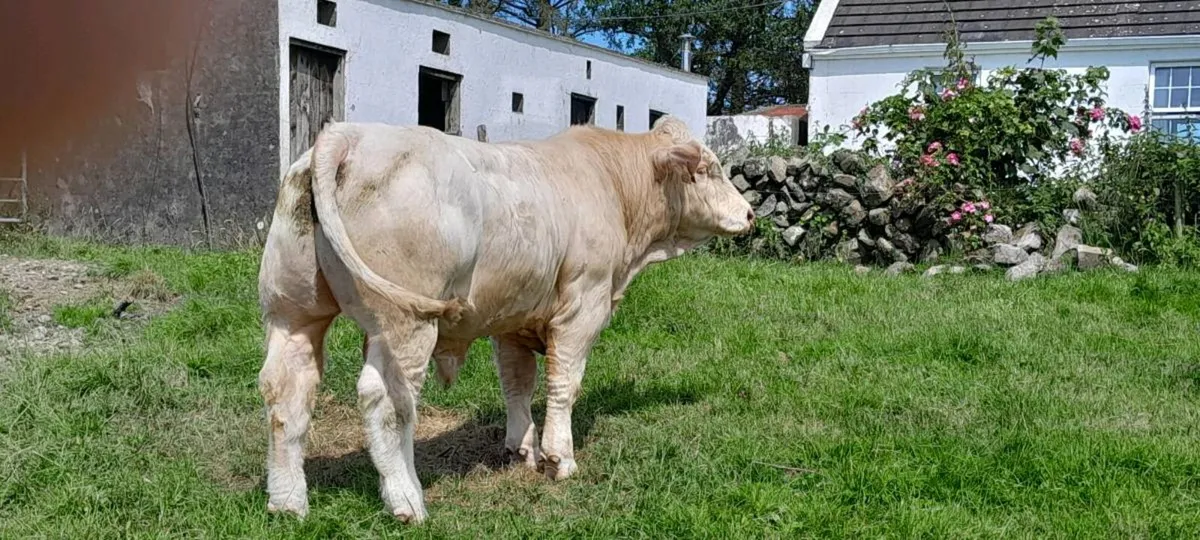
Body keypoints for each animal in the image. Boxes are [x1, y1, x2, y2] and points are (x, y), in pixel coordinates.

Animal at [255, 115, 754, 523]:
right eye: (709, 169)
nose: (750, 213)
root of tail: (348, 134)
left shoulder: (513, 316)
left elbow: (518, 384)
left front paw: (522, 448)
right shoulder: (584, 305)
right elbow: (564, 383)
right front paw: (559, 458)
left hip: (292, 312)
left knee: (286, 389)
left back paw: (287, 502)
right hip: (404, 324)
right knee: (386, 402)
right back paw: (407, 500)